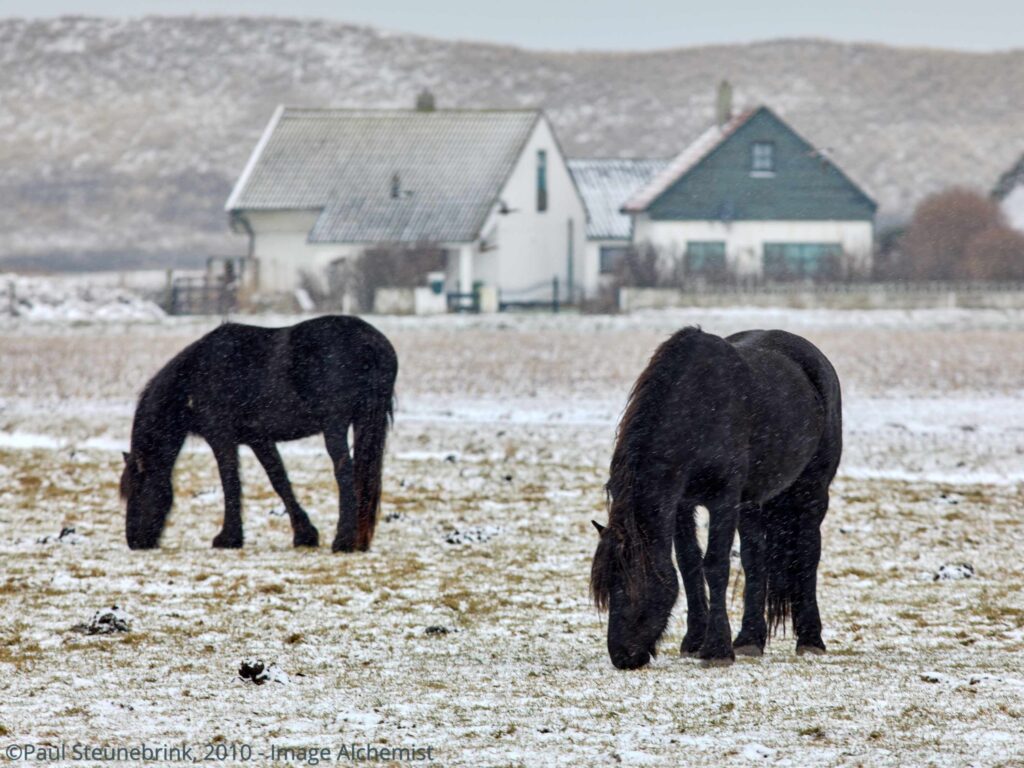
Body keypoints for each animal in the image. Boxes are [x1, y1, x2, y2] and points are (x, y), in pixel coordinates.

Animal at [117, 317, 393, 552]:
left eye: (138, 488)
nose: (133, 541)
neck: (194, 377)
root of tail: (370, 341)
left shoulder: (221, 437)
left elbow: (230, 480)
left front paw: (228, 538)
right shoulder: (259, 439)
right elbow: (279, 479)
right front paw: (305, 534)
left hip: (335, 426)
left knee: (344, 472)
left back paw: (343, 541)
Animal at [589, 327, 843, 671]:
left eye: (632, 584)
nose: (622, 656)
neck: (696, 407)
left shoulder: (723, 499)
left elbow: (715, 565)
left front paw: (717, 649)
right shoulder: (682, 505)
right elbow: (689, 565)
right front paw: (695, 641)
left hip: (812, 491)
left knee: (807, 555)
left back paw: (810, 639)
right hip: (753, 504)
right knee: (755, 559)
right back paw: (750, 639)